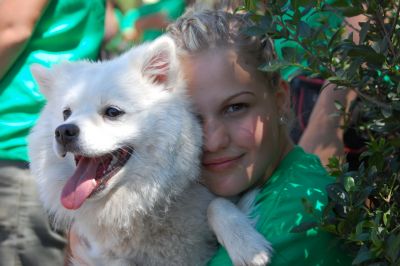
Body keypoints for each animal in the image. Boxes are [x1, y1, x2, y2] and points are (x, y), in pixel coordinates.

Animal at [28, 35, 272, 266]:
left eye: (112, 112)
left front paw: (246, 245)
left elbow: (216, 204)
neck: (146, 206)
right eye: (66, 113)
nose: (63, 131)